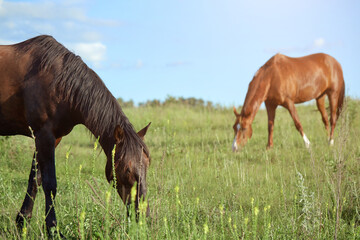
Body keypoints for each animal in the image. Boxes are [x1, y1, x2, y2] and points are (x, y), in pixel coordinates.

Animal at [0, 35, 150, 234]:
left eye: (147, 165)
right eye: (126, 170)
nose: (143, 216)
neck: (59, 83)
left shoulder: (51, 138)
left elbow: (35, 179)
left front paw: (22, 222)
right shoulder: (44, 136)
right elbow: (50, 184)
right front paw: (53, 229)